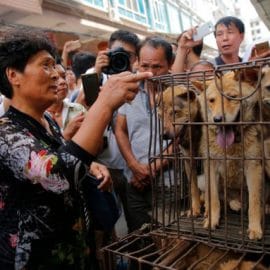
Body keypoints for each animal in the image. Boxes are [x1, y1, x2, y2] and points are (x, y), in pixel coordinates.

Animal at [156, 85, 202, 216]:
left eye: (175, 112)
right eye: (160, 116)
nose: (163, 135)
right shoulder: (189, 162)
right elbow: (193, 188)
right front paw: (195, 209)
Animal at [195, 69, 262, 240]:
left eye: (232, 97)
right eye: (212, 100)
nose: (218, 119)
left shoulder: (253, 167)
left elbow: (254, 202)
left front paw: (255, 228)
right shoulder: (211, 166)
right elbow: (214, 199)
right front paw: (212, 219)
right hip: (203, 180)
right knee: (217, 196)